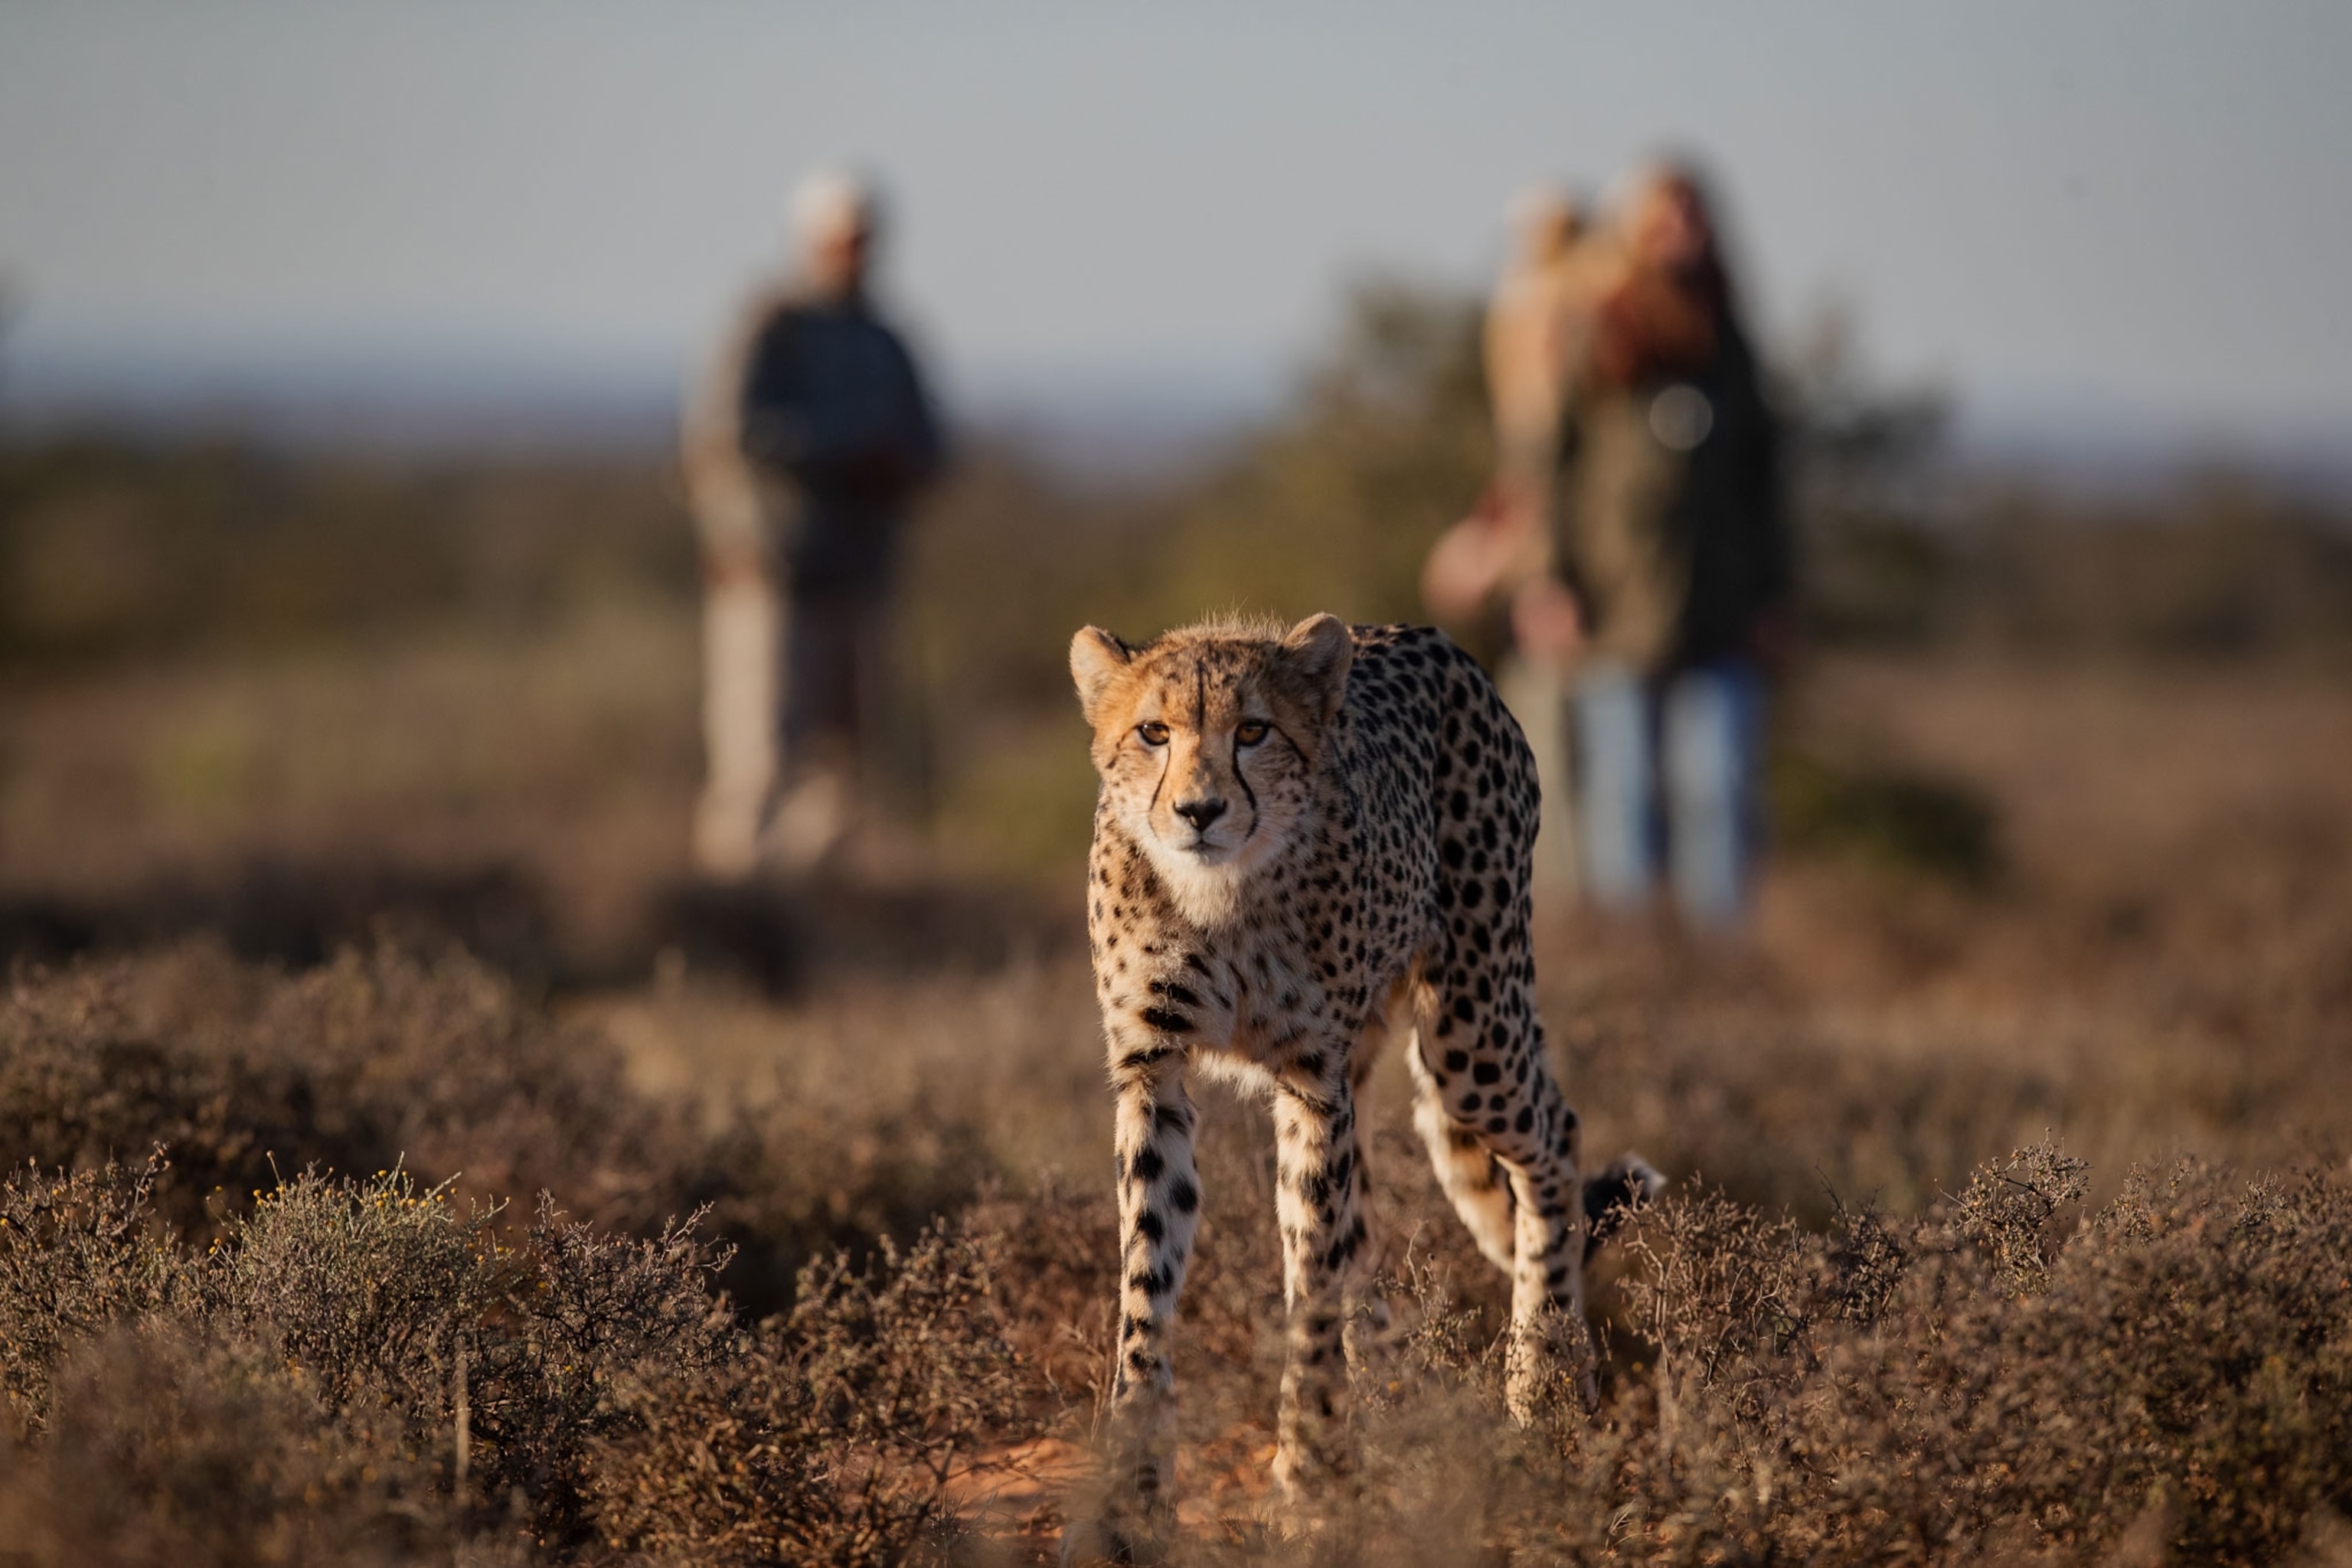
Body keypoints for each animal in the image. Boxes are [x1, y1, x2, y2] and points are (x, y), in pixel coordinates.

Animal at [1065, 610, 1659, 1551]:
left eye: (1254, 732)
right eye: (1152, 732)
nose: (1199, 811)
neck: (1220, 894)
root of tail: (1426, 635)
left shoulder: (1313, 1081)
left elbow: (1311, 1281)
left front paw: (1307, 1478)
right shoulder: (1153, 1075)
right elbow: (1147, 1289)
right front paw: (1132, 1498)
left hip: (1470, 1029)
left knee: (1554, 1139)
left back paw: (1541, 1385)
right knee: (1369, 1234)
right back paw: (1393, 1406)